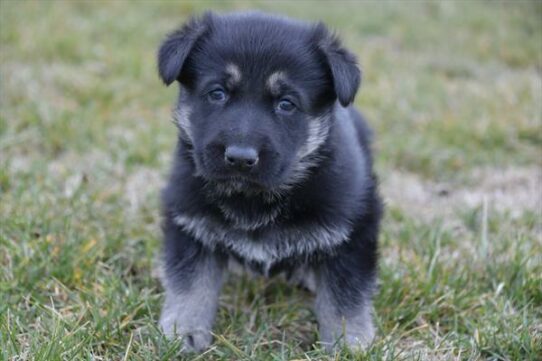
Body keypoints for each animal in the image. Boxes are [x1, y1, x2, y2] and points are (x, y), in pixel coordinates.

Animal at [158, 10, 382, 352]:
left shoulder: (355, 232)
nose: (240, 158)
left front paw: (348, 343)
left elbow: (345, 296)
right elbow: (190, 286)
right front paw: (183, 332)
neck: (252, 197)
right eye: (217, 93)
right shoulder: (190, 223)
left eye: (286, 103)